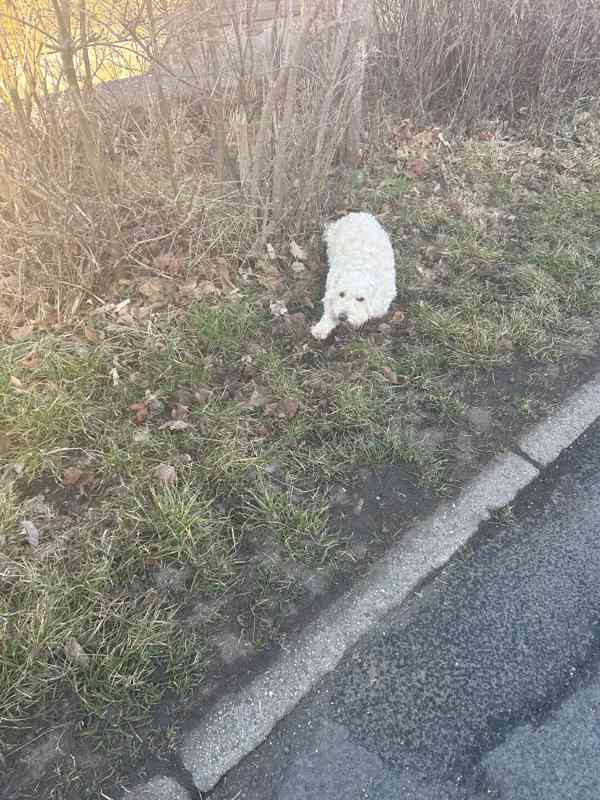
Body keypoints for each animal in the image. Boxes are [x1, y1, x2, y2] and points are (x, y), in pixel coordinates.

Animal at [312, 211, 396, 340]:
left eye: (361, 299)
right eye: (341, 294)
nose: (342, 317)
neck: (361, 268)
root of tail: (358, 214)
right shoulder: (331, 288)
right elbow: (329, 309)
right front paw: (321, 329)